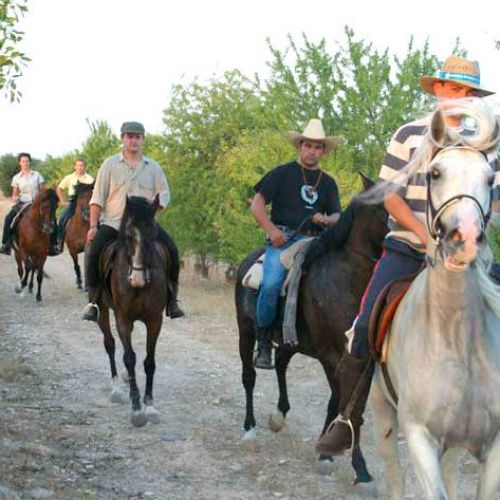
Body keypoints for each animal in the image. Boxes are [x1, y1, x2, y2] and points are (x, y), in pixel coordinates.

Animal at [94, 195, 171, 426]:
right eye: (129, 235)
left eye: (153, 235)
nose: (136, 279)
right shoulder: (123, 319)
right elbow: (129, 357)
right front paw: (137, 409)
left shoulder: (154, 320)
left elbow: (149, 361)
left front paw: (150, 406)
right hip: (102, 310)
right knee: (110, 344)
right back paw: (117, 389)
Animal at [234, 177, 386, 492]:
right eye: (383, 205)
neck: (347, 278)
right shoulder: (332, 356)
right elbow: (345, 407)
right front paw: (354, 467)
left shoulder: (361, 360)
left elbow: (347, 406)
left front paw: (332, 455)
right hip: (245, 333)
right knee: (249, 376)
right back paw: (250, 428)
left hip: (290, 341)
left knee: (280, 364)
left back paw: (279, 415)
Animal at [370, 99, 500, 498]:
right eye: (435, 173)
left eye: (490, 179)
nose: (465, 238)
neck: (456, 341)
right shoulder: (419, 437)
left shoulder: (494, 446)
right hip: (383, 414)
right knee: (394, 477)